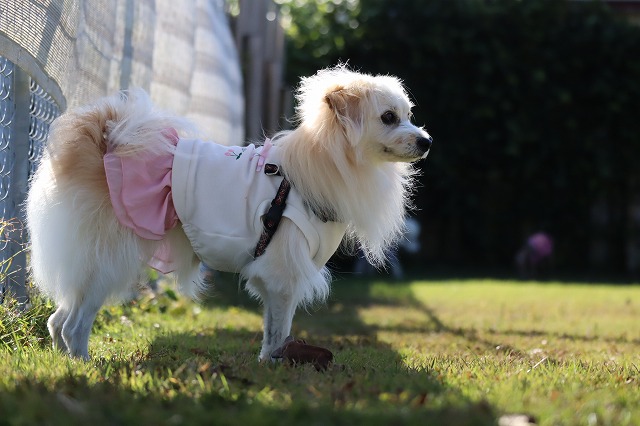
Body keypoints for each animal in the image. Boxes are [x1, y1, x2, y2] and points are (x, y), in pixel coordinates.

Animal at [26, 66, 432, 361]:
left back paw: (64, 362)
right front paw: (276, 366)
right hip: (108, 263)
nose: (427, 140)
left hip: (88, 266)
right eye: (389, 117)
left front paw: (269, 363)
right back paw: (84, 365)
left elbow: (271, 330)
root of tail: (104, 143)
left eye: (409, 116)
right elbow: (280, 329)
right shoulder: (284, 275)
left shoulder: (273, 278)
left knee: (57, 319)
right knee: (74, 325)